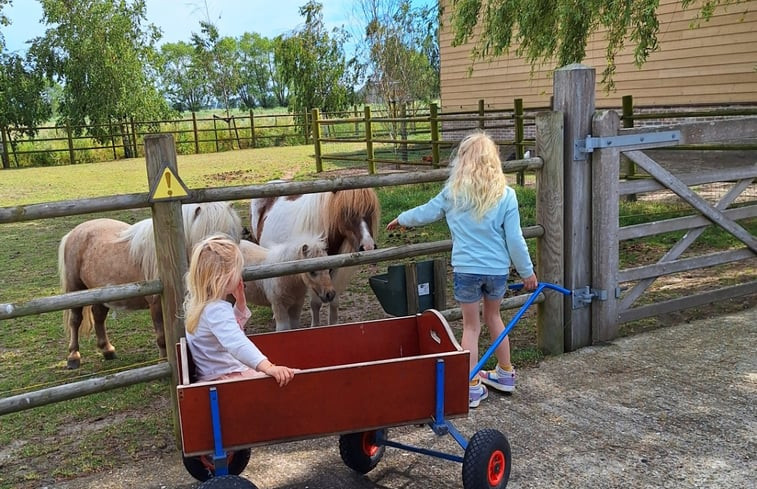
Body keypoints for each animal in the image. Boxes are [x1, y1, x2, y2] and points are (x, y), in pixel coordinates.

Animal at [59, 201, 242, 366]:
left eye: (232, 234)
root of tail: (73, 233)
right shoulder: (157, 305)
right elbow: (162, 337)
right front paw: (164, 362)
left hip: (101, 293)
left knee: (98, 316)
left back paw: (108, 350)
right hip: (76, 289)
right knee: (75, 320)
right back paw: (73, 357)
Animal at [251, 185, 380, 326]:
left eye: (370, 210)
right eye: (346, 212)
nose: (368, 247)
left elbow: (334, 301)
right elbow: (315, 303)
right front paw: (315, 326)